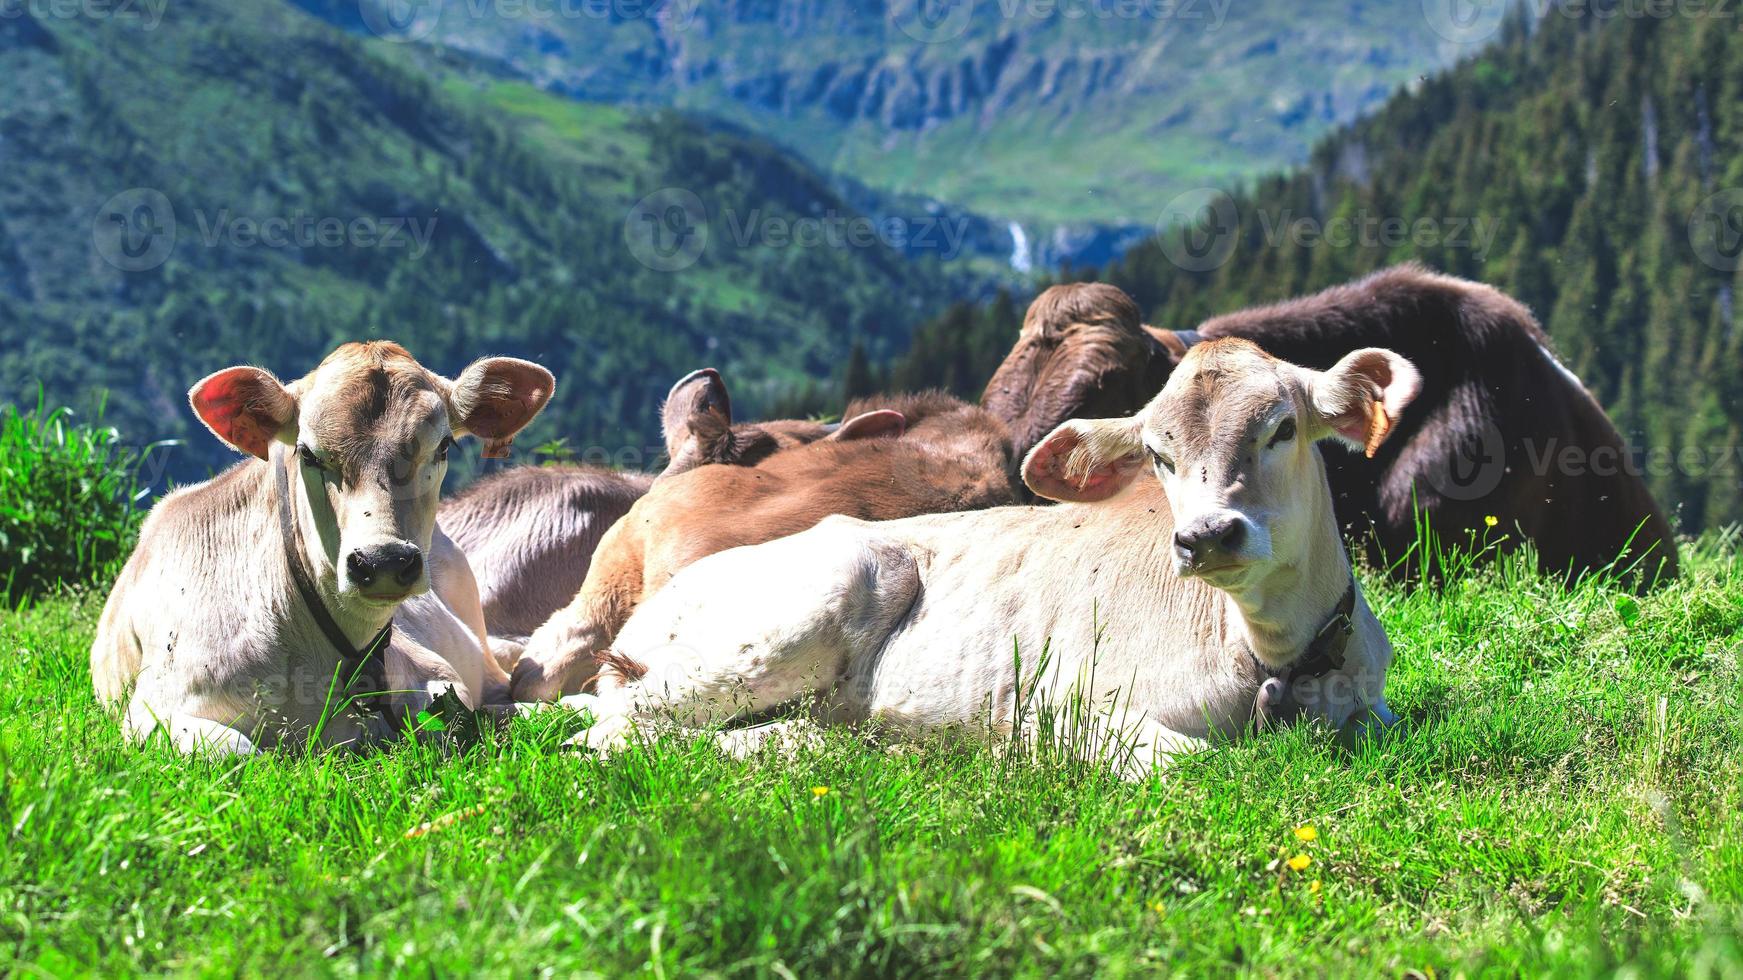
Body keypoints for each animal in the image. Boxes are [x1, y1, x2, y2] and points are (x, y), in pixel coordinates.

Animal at [568, 340, 1415, 774]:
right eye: (1156, 453)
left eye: (1281, 428)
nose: (1206, 535)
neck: (1267, 654)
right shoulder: (1072, 708)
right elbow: (1194, 763)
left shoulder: (1374, 705)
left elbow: (1385, 723)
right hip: (817, 596)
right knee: (618, 729)